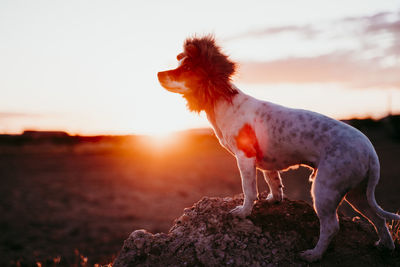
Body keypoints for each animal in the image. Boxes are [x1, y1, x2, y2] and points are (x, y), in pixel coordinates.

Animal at [157, 35, 400, 262]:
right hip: (358, 192)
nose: (158, 73)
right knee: (378, 219)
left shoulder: (244, 158)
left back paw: (313, 255)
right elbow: (273, 182)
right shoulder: (266, 163)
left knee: (332, 226)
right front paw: (274, 200)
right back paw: (385, 246)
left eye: (187, 68)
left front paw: (243, 212)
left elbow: (249, 190)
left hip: (325, 188)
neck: (223, 100)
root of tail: (370, 152)